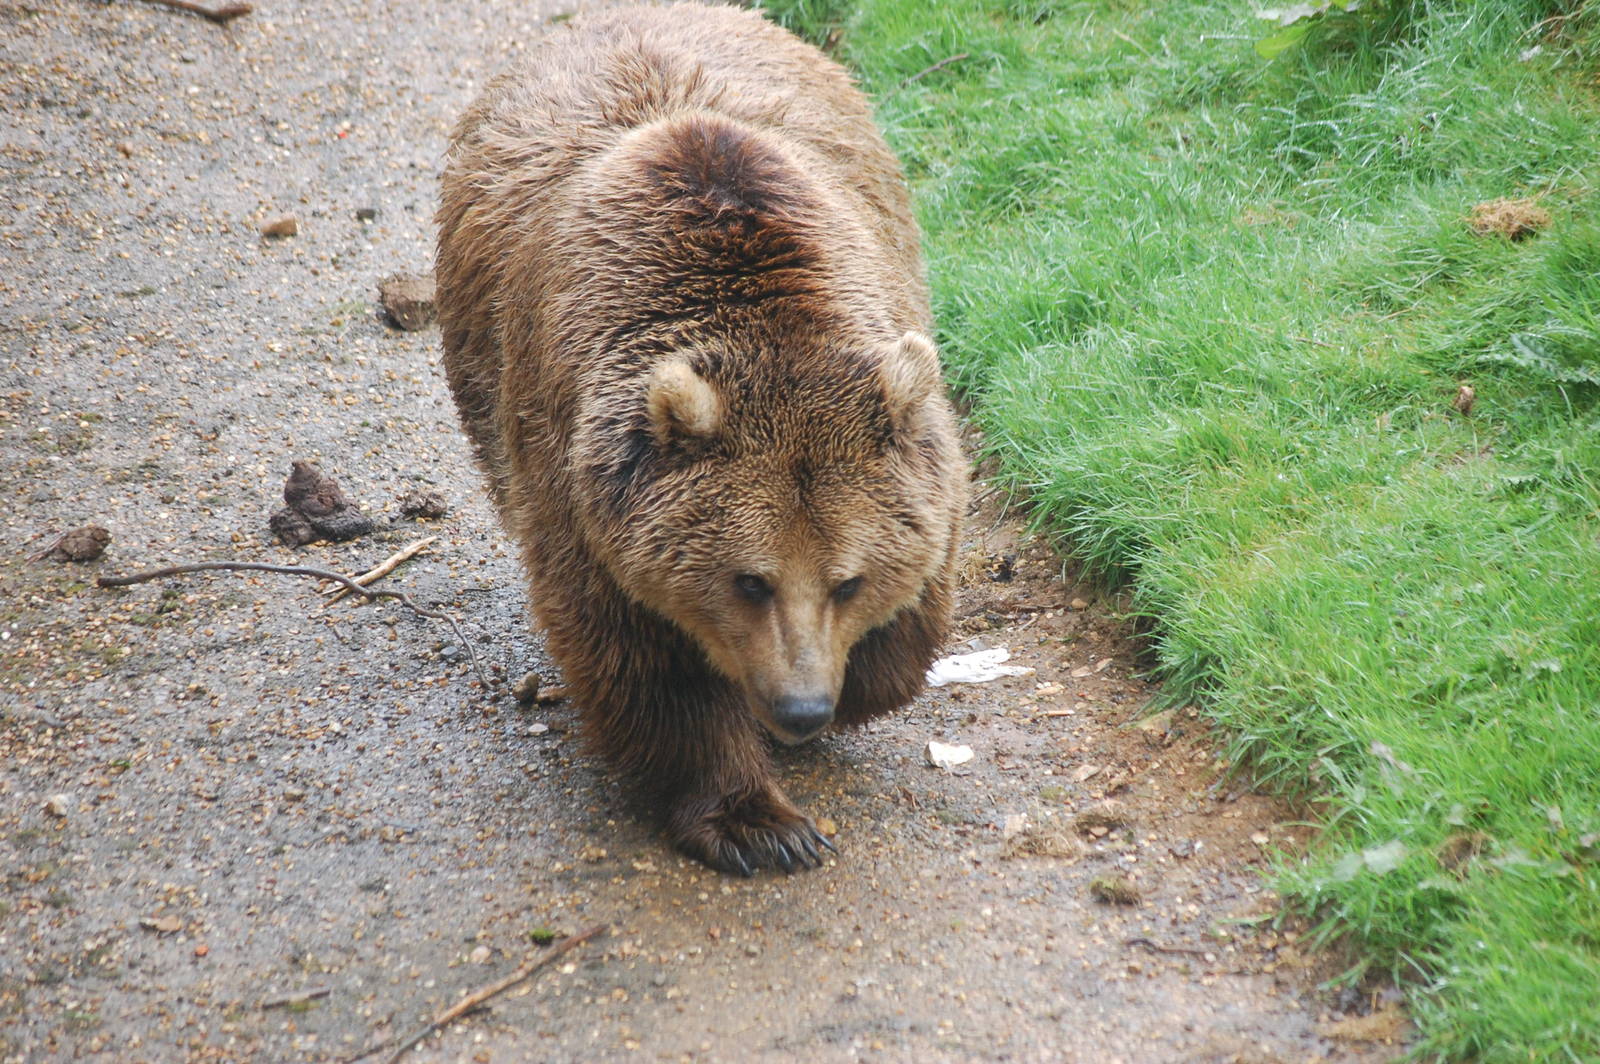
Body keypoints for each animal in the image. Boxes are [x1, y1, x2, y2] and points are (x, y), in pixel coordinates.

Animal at [435, 2, 967, 875]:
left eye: (847, 581)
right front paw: (759, 822)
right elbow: (644, 662)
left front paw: (860, 683)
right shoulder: (579, 474)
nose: (802, 707)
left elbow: (917, 600)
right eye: (750, 581)